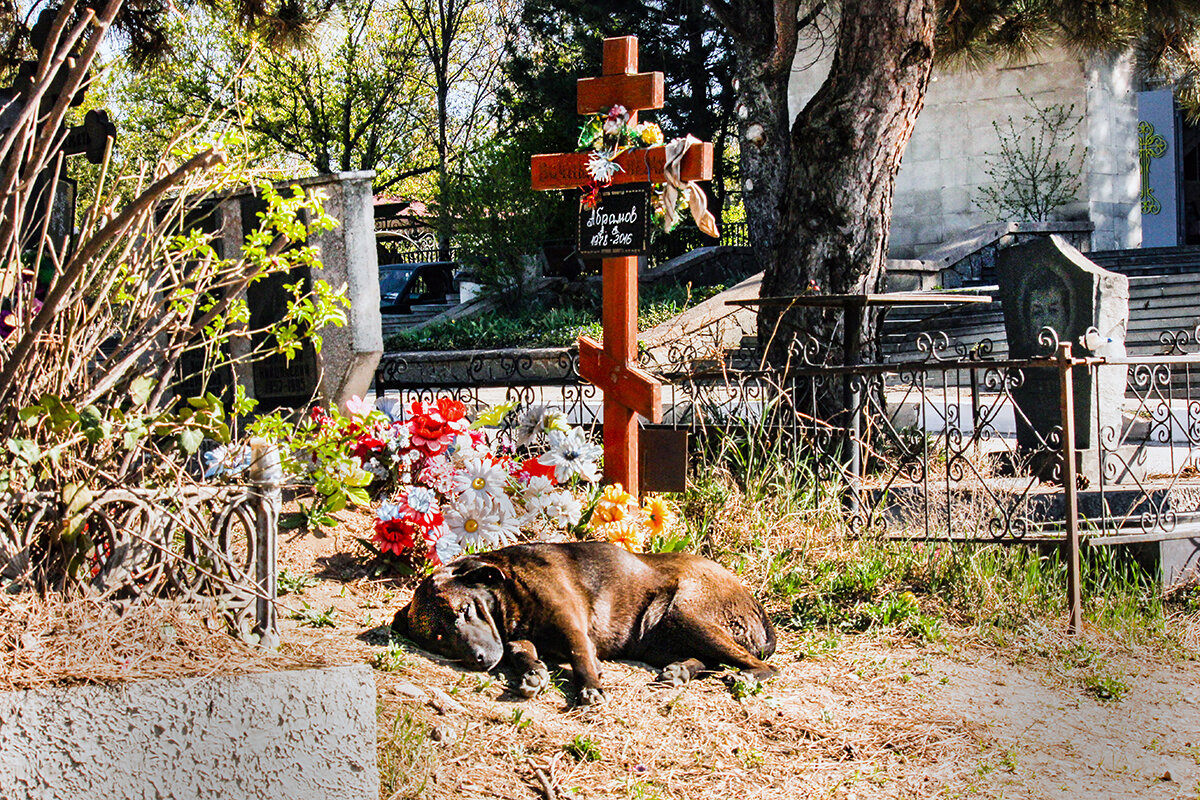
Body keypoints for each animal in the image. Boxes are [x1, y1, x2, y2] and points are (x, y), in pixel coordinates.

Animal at [388, 542, 772, 705]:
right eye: (439, 637)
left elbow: (579, 655)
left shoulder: (571, 624)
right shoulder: (516, 639)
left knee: (762, 666)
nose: (479, 660)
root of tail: (752, 598)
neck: (510, 588)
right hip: (659, 636)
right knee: (710, 660)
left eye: (466, 611)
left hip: (683, 614)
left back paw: (746, 676)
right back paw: (681, 670)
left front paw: (590, 687)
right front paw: (533, 673)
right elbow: (521, 654)